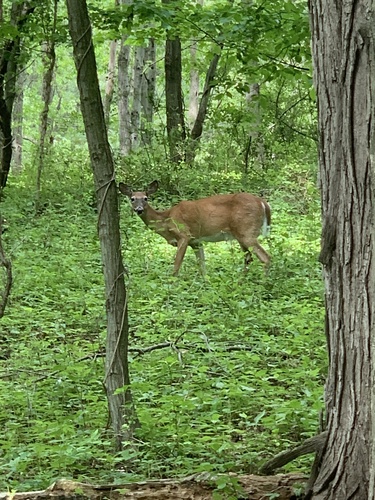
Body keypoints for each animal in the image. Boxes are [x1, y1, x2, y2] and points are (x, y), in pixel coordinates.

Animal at [119, 180, 270, 276]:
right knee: (248, 258)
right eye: (132, 198)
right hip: (240, 235)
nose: (139, 209)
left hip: (247, 231)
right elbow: (202, 266)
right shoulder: (196, 242)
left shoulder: (184, 235)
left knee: (265, 257)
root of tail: (262, 202)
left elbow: (176, 266)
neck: (166, 220)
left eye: (145, 198)